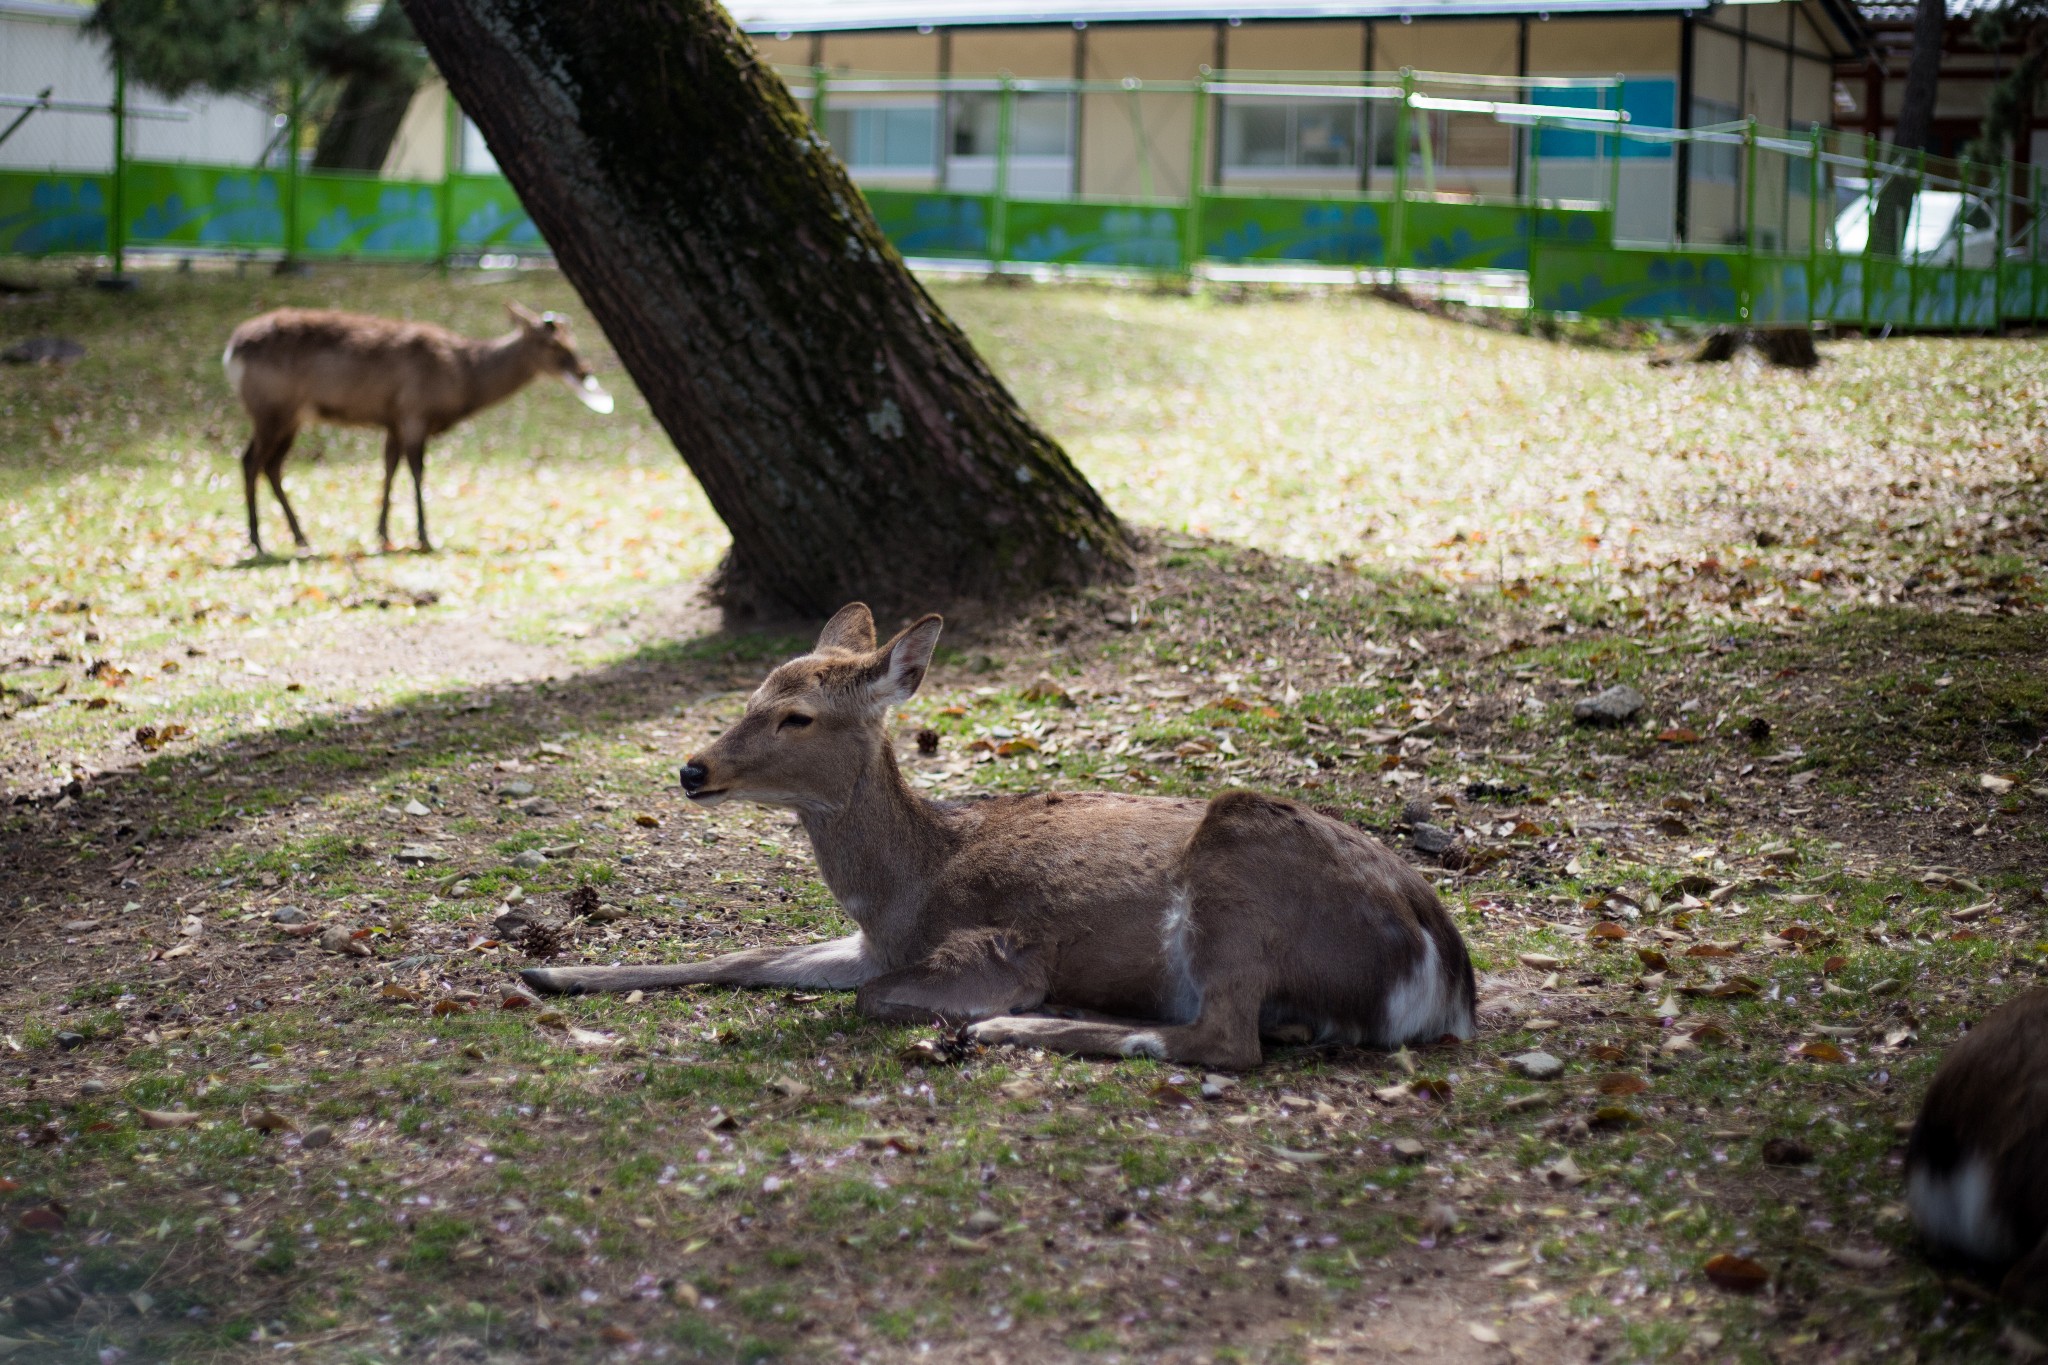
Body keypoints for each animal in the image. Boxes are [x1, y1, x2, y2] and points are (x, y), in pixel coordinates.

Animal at [225, 300, 610, 552]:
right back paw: (258, 539)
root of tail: (232, 352)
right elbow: (416, 470)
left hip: (290, 417)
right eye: (552, 344)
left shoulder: (394, 420)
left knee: (271, 465)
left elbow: (389, 469)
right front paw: (425, 535)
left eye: (572, 340)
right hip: (272, 408)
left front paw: (382, 532)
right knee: (251, 460)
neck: (462, 379)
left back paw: (300, 536)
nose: (585, 371)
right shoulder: (414, 413)